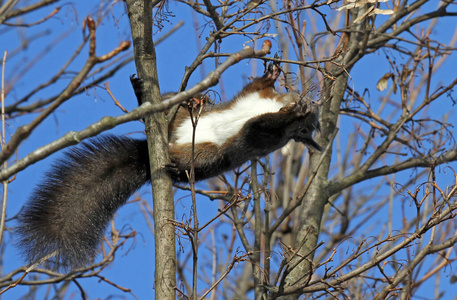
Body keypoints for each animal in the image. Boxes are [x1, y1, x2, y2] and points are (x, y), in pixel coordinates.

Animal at [16, 62, 318, 270]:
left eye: (305, 132)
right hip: (180, 111)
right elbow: (255, 87)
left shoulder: (264, 137)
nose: (305, 107)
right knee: (170, 104)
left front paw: (288, 113)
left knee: (191, 164)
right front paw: (273, 74)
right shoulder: (254, 97)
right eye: (310, 108)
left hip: (207, 155)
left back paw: (174, 165)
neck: (273, 106)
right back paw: (144, 95)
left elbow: (262, 126)